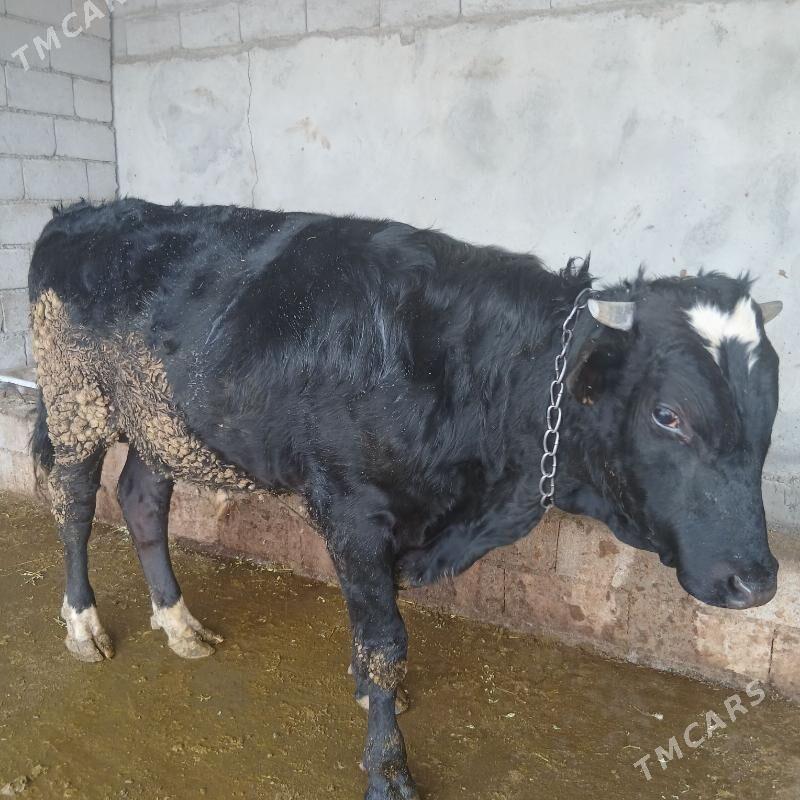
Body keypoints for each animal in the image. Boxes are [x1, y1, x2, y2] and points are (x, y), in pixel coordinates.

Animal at [29, 199, 782, 800]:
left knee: (142, 500)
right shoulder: (353, 510)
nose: (756, 580)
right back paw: (83, 625)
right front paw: (387, 766)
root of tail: (86, 211)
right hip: (74, 400)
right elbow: (386, 637)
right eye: (668, 415)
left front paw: (368, 691)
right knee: (73, 503)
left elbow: (377, 628)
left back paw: (178, 623)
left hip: (160, 422)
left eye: (770, 405)